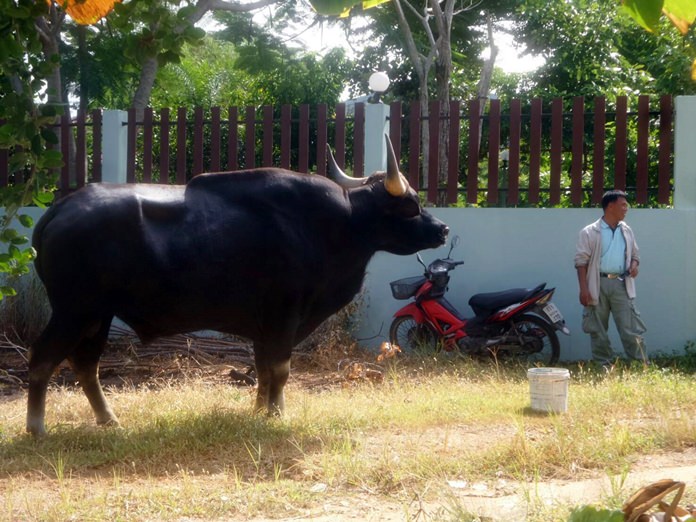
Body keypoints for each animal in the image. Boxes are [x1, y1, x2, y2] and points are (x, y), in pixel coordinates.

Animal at [27, 135, 448, 434]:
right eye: (410, 205)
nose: (442, 229)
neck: (336, 225)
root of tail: (60, 209)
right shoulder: (284, 313)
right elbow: (280, 369)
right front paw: (277, 415)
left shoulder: (265, 324)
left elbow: (262, 368)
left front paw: (261, 409)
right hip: (74, 310)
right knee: (43, 357)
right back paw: (37, 427)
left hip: (97, 315)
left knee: (86, 365)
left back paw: (109, 420)